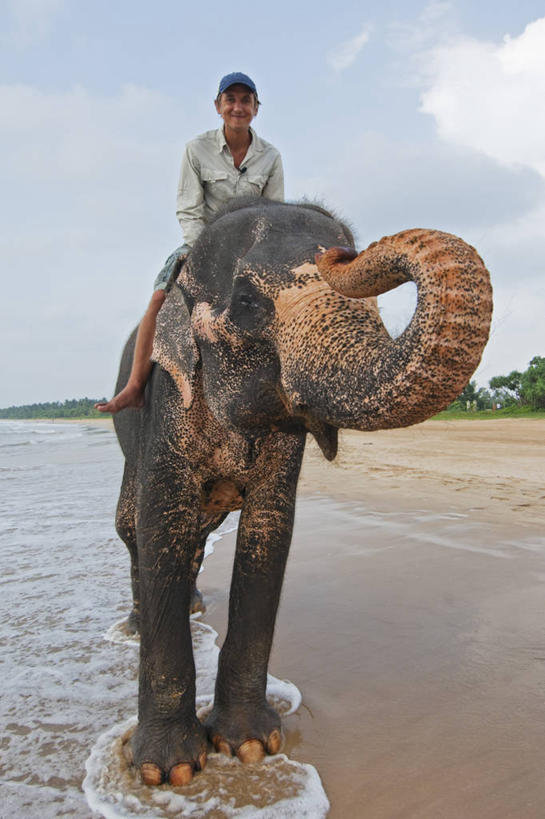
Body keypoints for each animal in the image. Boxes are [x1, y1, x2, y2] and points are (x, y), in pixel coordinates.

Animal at [112, 197, 490, 788]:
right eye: (247, 301)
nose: (340, 252)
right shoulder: (167, 398)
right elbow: (162, 523)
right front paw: (168, 770)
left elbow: (270, 528)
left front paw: (248, 746)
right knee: (134, 529)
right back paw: (135, 624)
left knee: (200, 531)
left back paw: (196, 605)